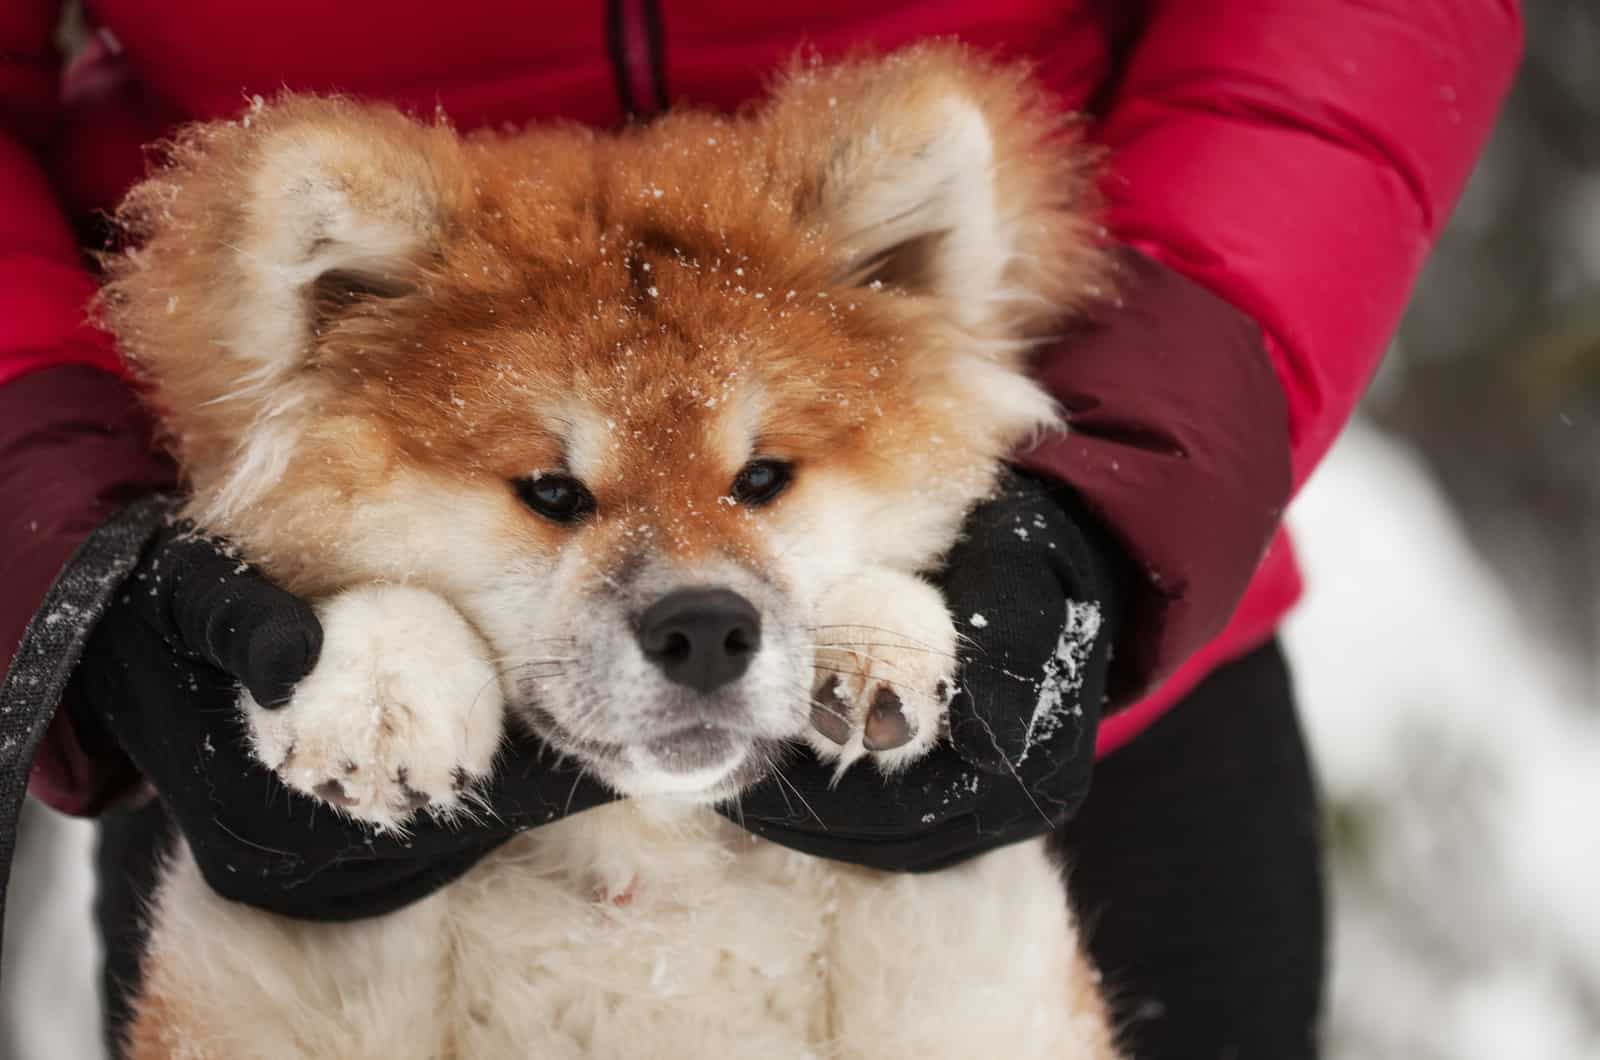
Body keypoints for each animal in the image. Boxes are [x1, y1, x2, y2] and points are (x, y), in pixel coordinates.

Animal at [100, 43, 1120, 1060]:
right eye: (553, 492)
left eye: (762, 478)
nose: (705, 630)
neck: (644, 881)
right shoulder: (307, 960)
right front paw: (380, 683)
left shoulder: (959, 956)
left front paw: (878, 639)